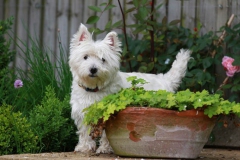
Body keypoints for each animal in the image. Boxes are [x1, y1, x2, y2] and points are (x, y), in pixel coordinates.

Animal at [69, 23, 191, 154]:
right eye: (85, 57)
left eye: (103, 59)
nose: (93, 69)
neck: (94, 89)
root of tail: (166, 80)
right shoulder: (82, 113)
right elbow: (84, 132)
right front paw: (84, 147)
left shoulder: (109, 113)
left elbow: (107, 135)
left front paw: (106, 148)